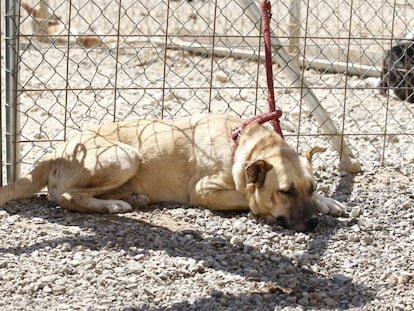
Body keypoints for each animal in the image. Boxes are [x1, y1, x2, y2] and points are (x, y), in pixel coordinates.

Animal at [0, 114, 342, 232]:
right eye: (284, 192)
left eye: (311, 187)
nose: (314, 224)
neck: (243, 146)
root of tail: (57, 150)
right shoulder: (205, 191)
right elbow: (250, 199)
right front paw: (259, 206)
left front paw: (328, 202)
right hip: (127, 155)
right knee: (68, 197)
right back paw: (111, 205)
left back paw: (132, 198)